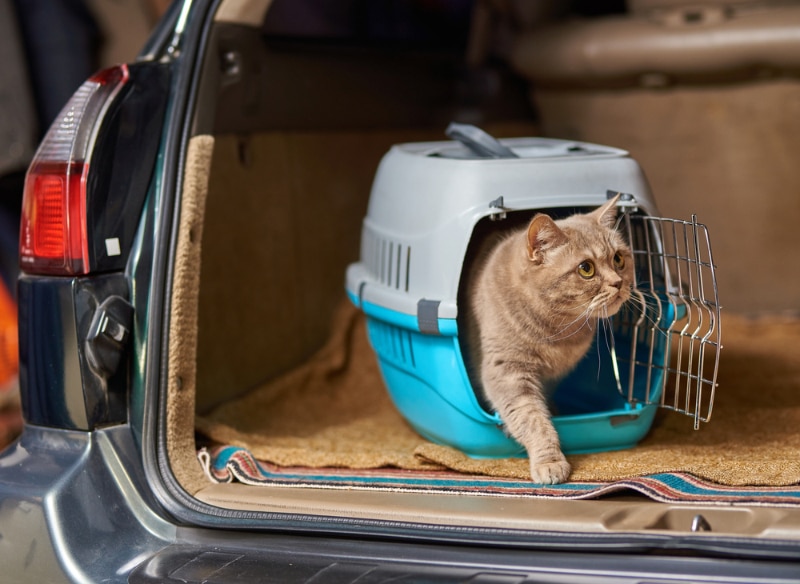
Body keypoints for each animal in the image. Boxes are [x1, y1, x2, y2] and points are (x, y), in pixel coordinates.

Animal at [468, 196, 632, 484]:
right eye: (586, 269)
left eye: (618, 258)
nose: (618, 282)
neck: (558, 333)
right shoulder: (508, 373)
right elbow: (532, 419)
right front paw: (550, 461)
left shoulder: (552, 377)